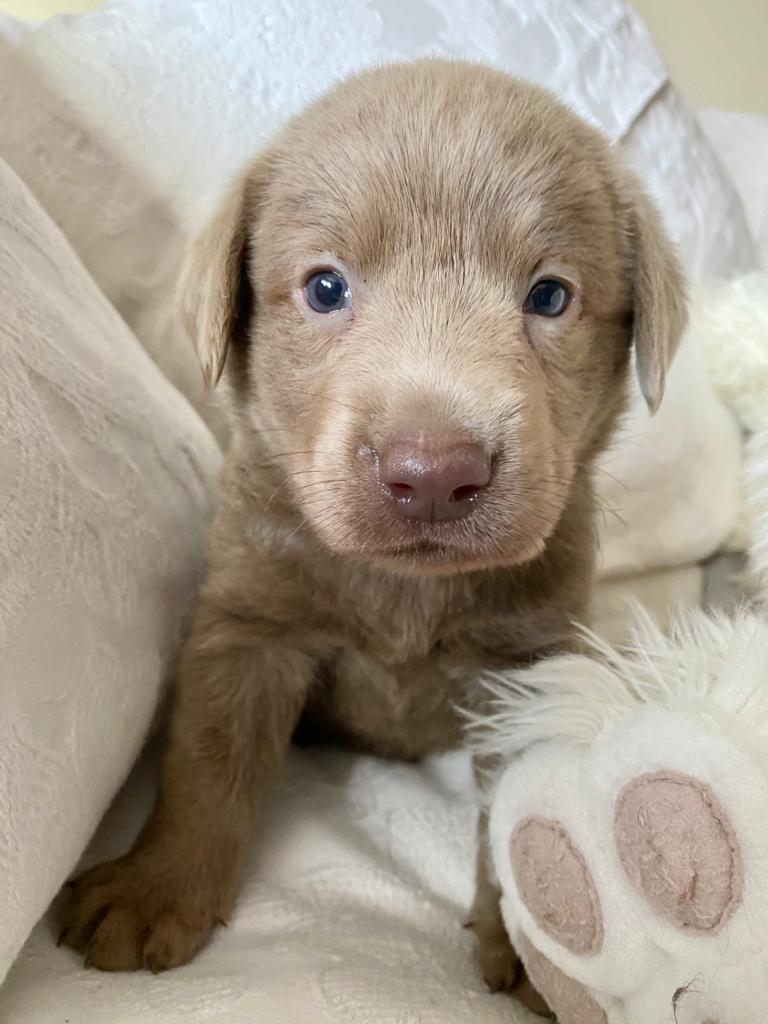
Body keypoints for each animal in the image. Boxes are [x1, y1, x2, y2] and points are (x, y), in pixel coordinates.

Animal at [61, 59, 686, 1001]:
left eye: (549, 296)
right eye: (326, 287)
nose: (432, 472)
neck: (406, 588)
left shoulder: (530, 659)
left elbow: (522, 807)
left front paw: (541, 942)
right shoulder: (249, 622)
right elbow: (207, 762)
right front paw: (156, 887)